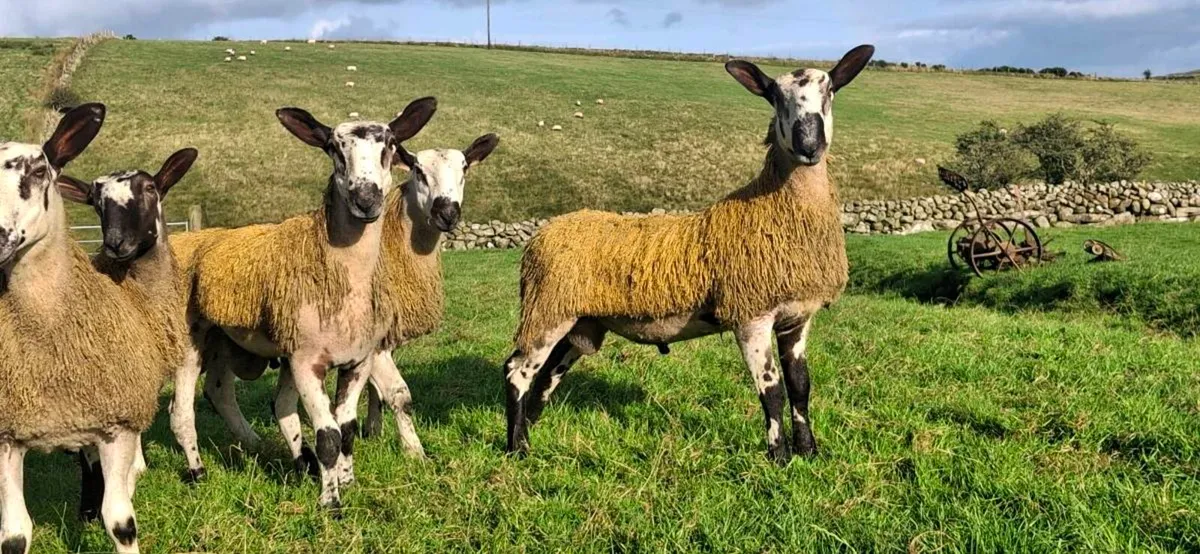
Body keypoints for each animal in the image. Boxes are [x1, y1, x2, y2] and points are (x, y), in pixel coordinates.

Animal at [57, 148, 197, 523]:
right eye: (95, 202)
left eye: (149, 187)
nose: (116, 243)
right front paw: (93, 506)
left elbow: (181, 417)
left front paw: (195, 470)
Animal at [166, 97, 438, 513]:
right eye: (333, 149)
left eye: (390, 146)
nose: (366, 200)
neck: (338, 270)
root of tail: (193, 237)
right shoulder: (306, 361)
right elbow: (327, 436)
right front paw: (331, 504)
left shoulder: (358, 359)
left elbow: (346, 429)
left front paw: (347, 481)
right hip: (190, 337)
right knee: (181, 413)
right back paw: (198, 472)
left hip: (228, 341)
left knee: (224, 392)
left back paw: (266, 450)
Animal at [503, 45, 876, 465]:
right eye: (774, 97)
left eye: (830, 91)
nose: (809, 145)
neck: (775, 206)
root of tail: (541, 234)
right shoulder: (750, 315)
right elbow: (772, 391)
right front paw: (779, 458)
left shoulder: (797, 318)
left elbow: (800, 386)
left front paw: (809, 452)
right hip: (547, 311)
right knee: (517, 371)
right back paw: (516, 448)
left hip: (579, 323)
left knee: (546, 374)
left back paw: (530, 432)